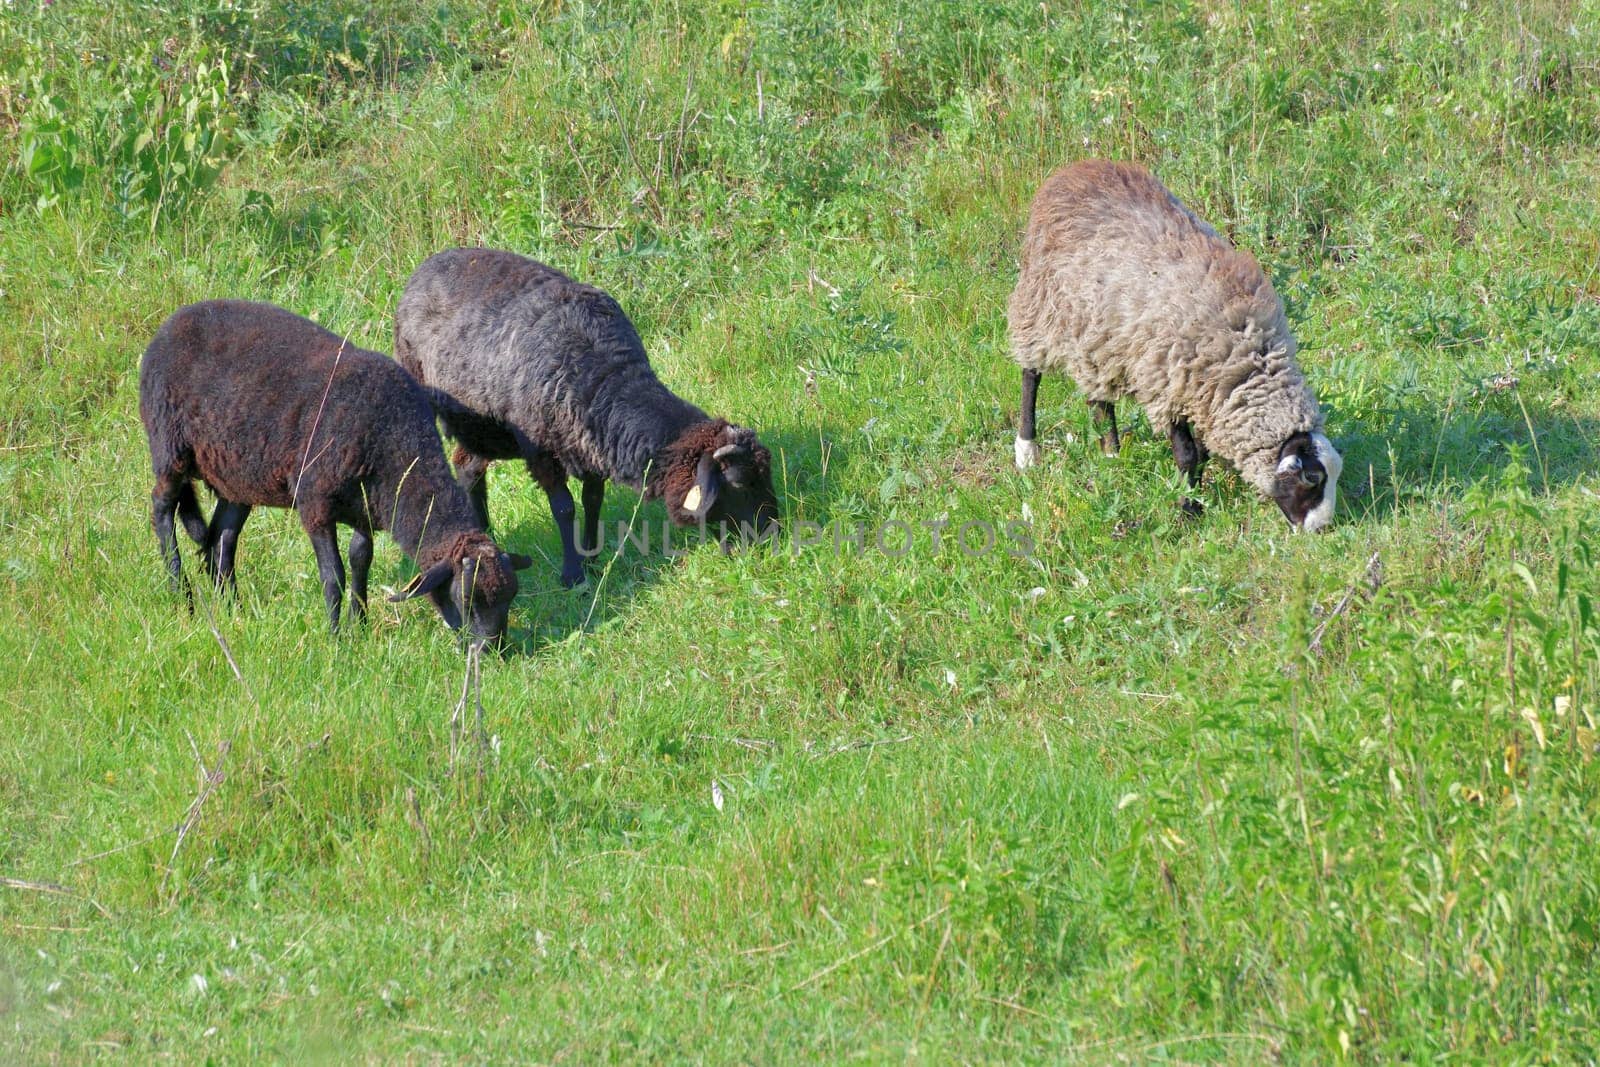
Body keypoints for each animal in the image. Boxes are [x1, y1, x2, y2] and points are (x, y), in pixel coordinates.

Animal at [140, 303, 534, 646]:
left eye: (510, 598)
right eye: (466, 599)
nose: (492, 651)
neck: (396, 446)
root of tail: (171, 322)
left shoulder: (365, 508)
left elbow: (361, 562)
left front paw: (360, 624)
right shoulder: (315, 503)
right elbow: (334, 576)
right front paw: (336, 639)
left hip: (236, 476)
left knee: (223, 536)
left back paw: (232, 607)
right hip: (169, 445)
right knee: (162, 506)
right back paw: (181, 593)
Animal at [393, 247, 780, 588]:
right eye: (739, 483)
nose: (771, 533)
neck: (603, 377)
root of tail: (426, 265)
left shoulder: (590, 445)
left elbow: (592, 501)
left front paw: (593, 557)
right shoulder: (542, 452)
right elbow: (564, 509)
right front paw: (573, 574)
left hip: (480, 428)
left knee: (470, 466)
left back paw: (486, 529)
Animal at [1011, 159, 1337, 534]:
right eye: (1312, 478)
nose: (1322, 529)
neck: (1247, 349)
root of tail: (1073, 169)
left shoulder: (1207, 394)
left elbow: (1202, 451)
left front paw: (1194, 498)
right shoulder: (1169, 383)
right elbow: (1188, 453)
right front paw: (1188, 509)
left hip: (1098, 334)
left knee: (1098, 396)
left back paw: (1112, 454)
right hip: (1041, 305)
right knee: (1031, 373)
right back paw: (1027, 451)